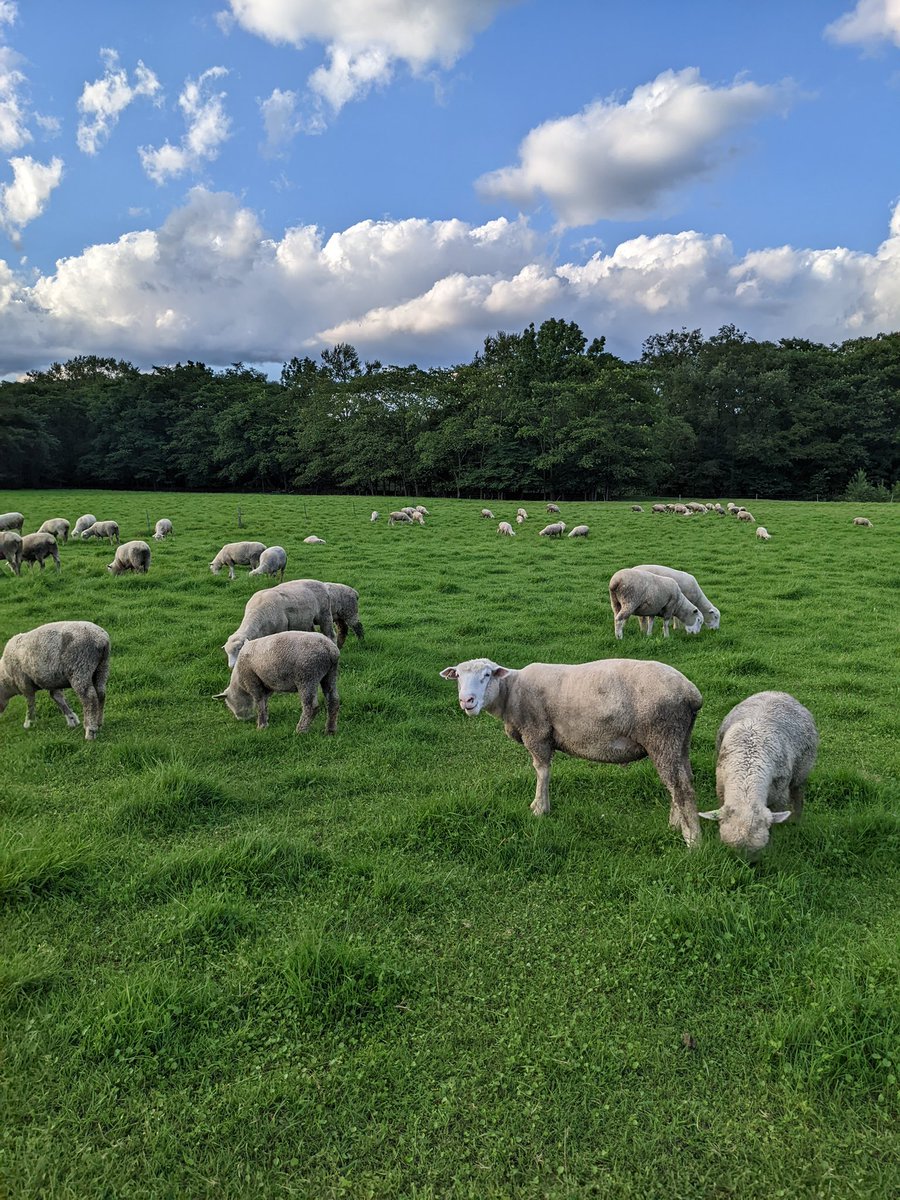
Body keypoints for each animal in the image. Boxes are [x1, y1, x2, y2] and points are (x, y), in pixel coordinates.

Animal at [439, 656, 704, 845]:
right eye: (458, 676)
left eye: (486, 675)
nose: (467, 701)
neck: (510, 692)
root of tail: (691, 694)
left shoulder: (537, 733)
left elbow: (542, 771)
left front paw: (539, 809)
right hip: (680, 738)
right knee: (683, 778)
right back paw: (676, 823)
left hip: (662, 734)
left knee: (680, 786)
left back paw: (693, 841)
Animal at [699, 692, 818, 858]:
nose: (746, 863)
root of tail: (777, 692)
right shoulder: (720, 788)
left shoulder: (779, 796)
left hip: (802, 771)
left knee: (798, 795)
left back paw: (796, 821)